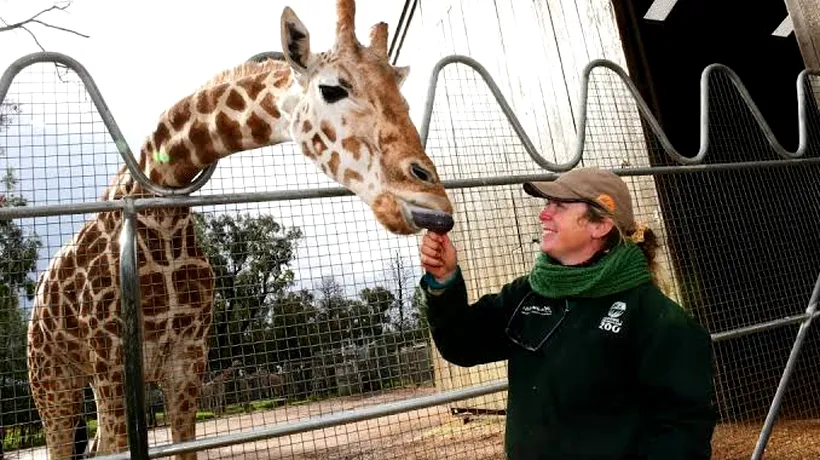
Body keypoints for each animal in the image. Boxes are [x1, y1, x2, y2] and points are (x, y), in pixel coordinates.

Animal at [24, 0, 454, 458]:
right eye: (332, 89)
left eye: (402, 98)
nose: (436, 205)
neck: (162, 217)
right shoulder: (112, 363)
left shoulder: (187, 363)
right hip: (52, 381)